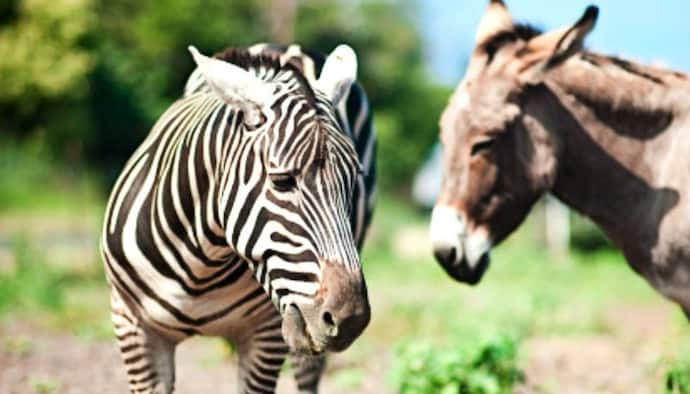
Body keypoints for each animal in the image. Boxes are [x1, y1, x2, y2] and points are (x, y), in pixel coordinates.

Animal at [99, 41, 374, 392]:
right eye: (281, 181)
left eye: (354, 182)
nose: (351, 320)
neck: (200, 266)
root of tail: (290, 47)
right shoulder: (132, 325)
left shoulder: (266, 334)